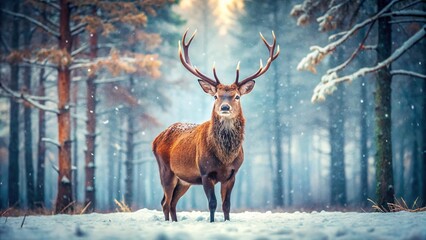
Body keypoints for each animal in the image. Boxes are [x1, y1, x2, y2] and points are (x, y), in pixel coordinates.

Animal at [153, 30, 280, 223]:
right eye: (216, 96)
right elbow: (212, 203)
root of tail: (156, 139)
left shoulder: (232, 174)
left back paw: (174, 222)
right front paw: (212, 222)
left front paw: (227, 221)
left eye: (237, 96)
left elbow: (226, 204)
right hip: (166, 170)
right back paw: (168, 223)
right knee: (165, 202)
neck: (225, 158)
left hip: (184, 180)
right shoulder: (206, 173)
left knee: (172, 202)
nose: (225, 107)